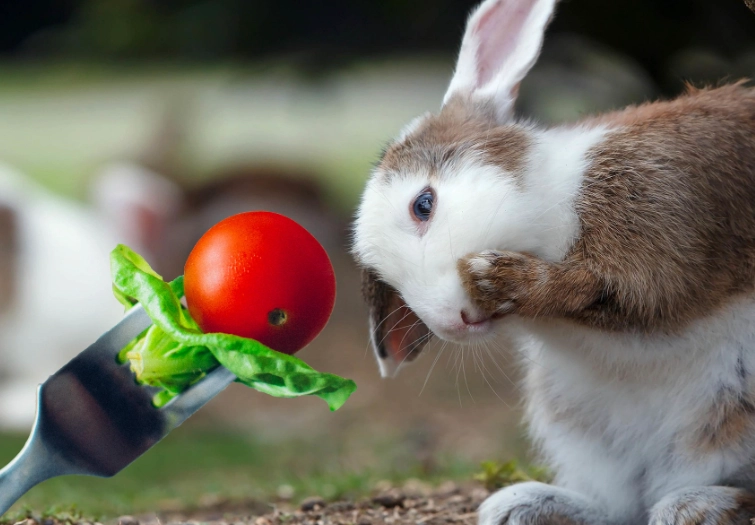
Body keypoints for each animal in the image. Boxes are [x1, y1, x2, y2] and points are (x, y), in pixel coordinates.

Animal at [352, 0, 755, 523]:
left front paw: (496, 276)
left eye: (423, 204)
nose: (453, 321)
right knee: (616, 506)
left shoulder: (660, 228)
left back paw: (697, 506)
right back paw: (520, 505)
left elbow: (622, 291)